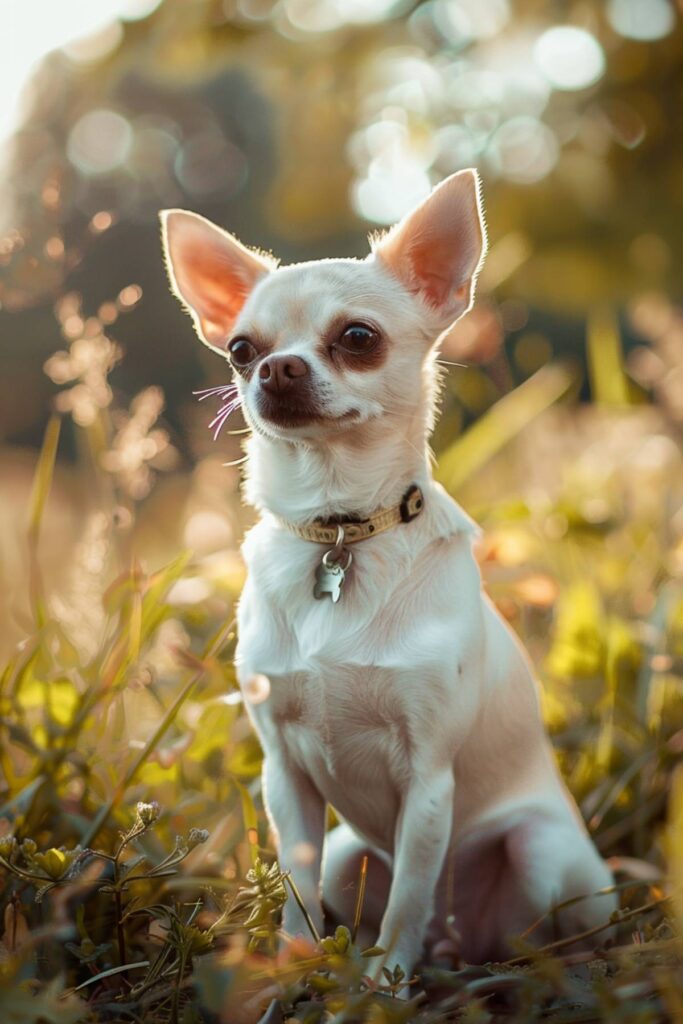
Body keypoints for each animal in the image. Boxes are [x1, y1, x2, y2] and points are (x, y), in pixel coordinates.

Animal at [162, 172, 618, 987]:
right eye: (242, 349)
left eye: (357, 339)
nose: (276, 369)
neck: (340, 530)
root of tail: (466, 936)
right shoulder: (285, 777)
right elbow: (297, 882)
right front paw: (295, 963)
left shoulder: (428, 780)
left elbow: (409, 889)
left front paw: (383, 983)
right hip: (351, 856)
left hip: (539, 848)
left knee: (524, 930)